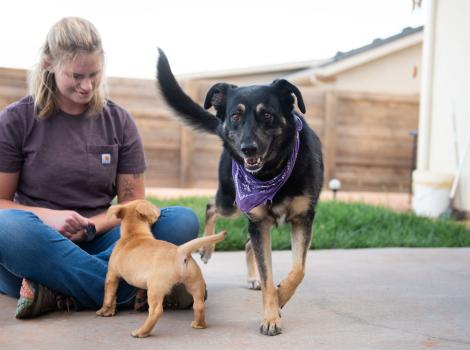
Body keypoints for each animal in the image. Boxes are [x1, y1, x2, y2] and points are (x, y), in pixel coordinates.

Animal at [95, 200, 226, 340]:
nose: (160, 210)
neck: (134, 235)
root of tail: (179, 251)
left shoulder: (112, 275)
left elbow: (108, 296)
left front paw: (104, 311)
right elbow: (115, 296)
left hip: (155, 288)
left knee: (156, 311)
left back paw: (141, 332)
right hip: (195, 283)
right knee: (199, 305)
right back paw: (199, 324)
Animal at [157, 50, 324, 336]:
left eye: (267, 115)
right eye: (236, 116)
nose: (248, 149)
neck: (272, 171)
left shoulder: (303, 219)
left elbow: (298, 270)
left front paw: (279, 297)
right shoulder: (257, 220)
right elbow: (270, 277)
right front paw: (271, 314)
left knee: (247, 243)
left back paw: (252, 277)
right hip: (232, 201)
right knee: (211, 207)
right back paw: (208, 249)